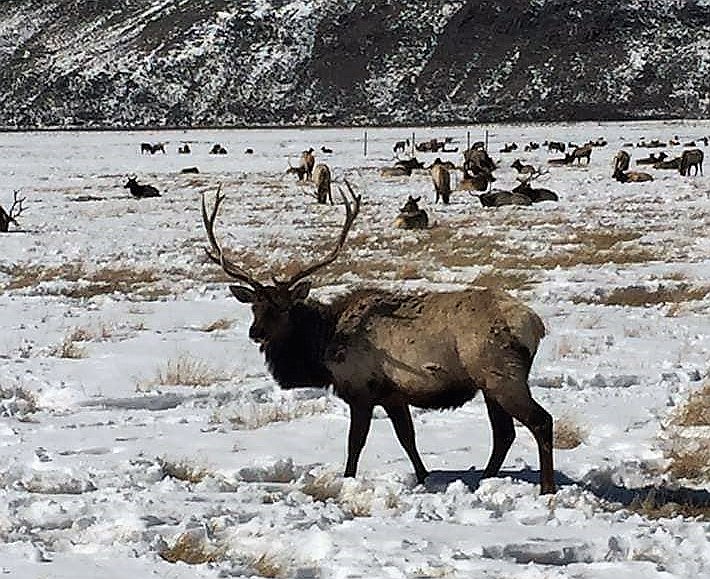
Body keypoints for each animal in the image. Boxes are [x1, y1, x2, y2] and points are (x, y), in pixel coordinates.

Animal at [200, 185, 556, 494]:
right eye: (255, 306)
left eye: (284, 307)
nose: (255, 332)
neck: (323, 346)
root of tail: (535, 325)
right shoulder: (393, 394)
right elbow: (407, 438)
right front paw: (424, 477)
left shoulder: (361, 390)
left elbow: (355, 443)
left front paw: (347, 479)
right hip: (488, 383)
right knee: (504, 433)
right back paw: (484, 479)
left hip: (501, 374)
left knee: (540, 421)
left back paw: (546, 488)